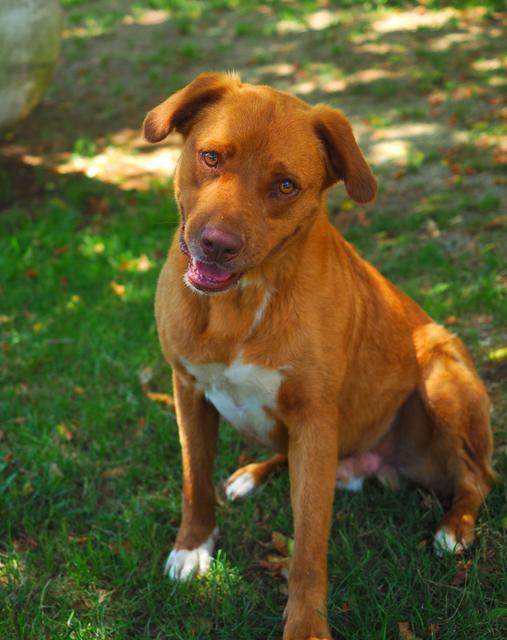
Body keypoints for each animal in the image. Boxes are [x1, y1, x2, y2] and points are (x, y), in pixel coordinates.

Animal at [143, 72, 496, 640]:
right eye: (211, 156)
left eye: (286, 186)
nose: (217, 244)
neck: (242, 303)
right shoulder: (188, 388)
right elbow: (194, 479)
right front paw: (192, 546)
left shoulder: (314, 418)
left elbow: (308, 545)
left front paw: (306, 625)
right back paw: (251, 474)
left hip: (441, 375)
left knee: (479, 476)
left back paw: (454, 526)